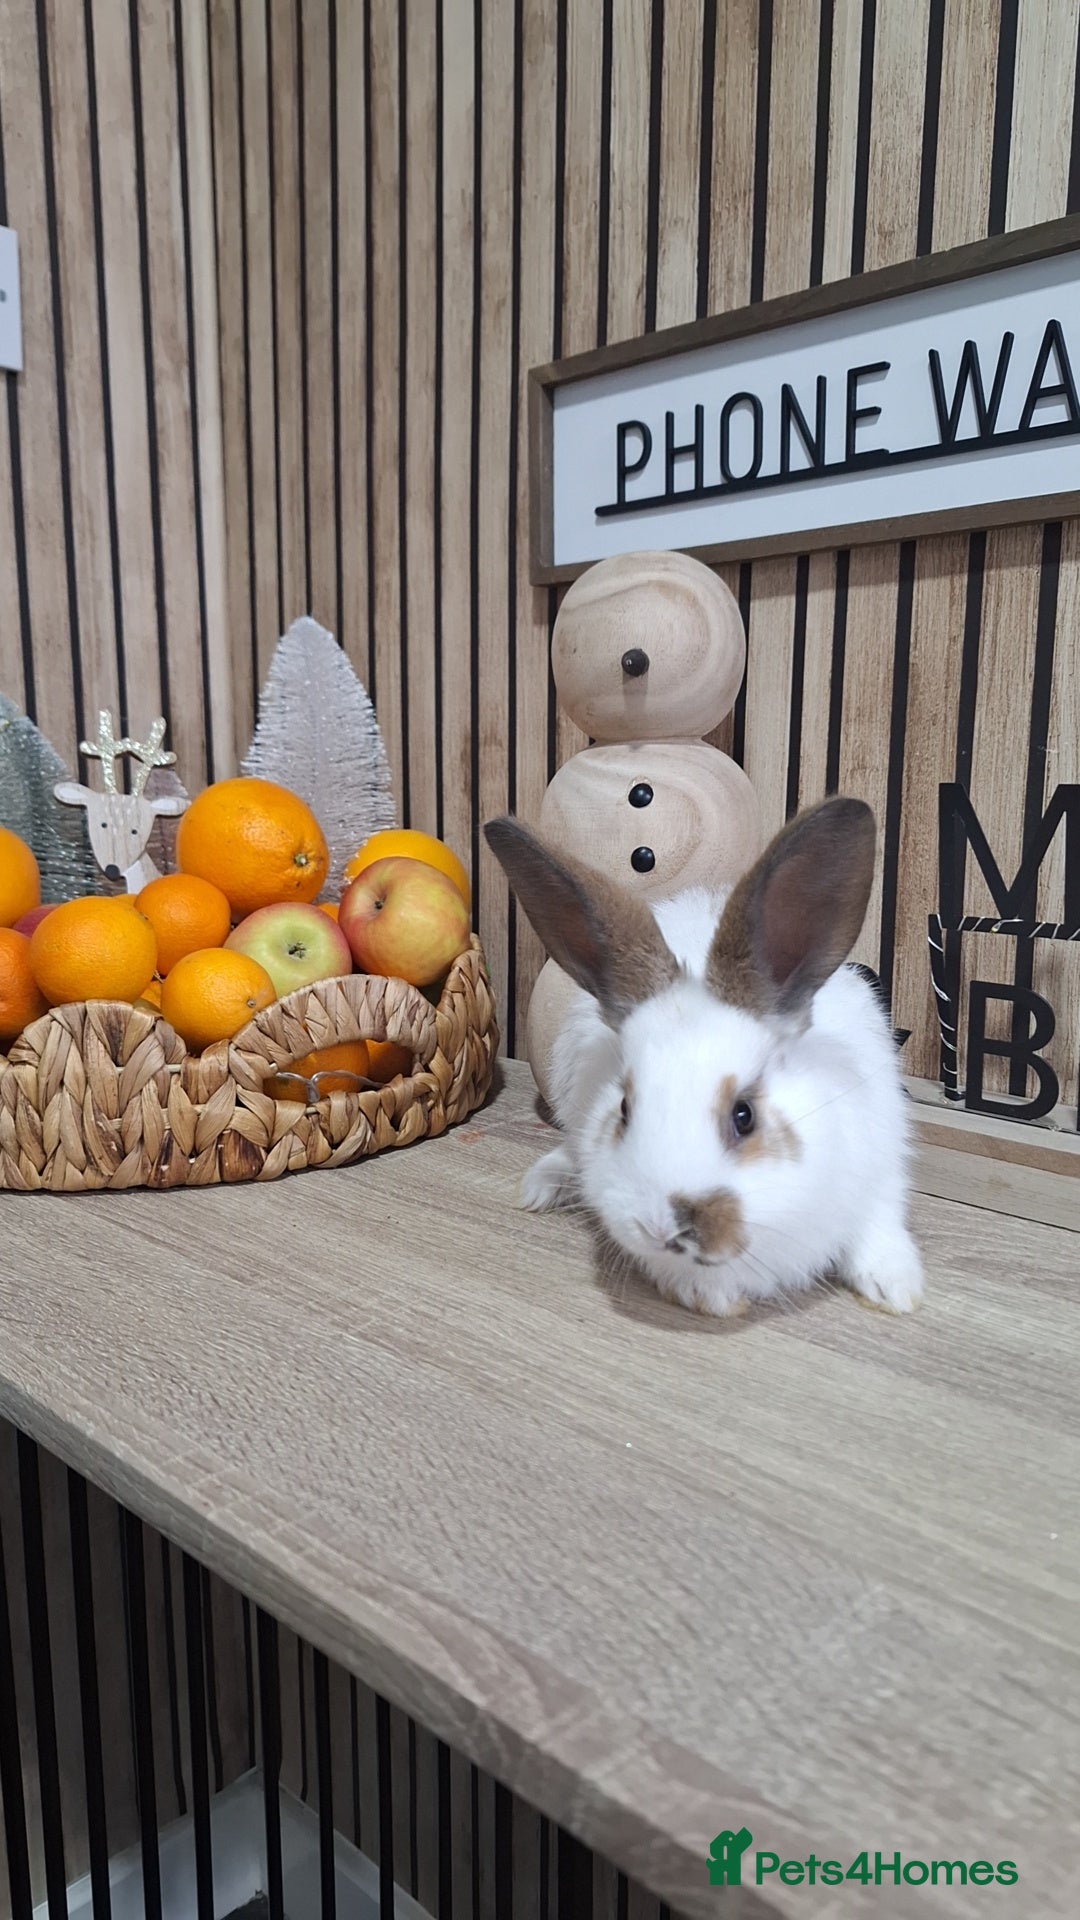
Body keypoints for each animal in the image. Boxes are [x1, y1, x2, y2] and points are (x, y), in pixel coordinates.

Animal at [484, 796, 924, 1319]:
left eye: (744, 1115)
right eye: (624, 1110)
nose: (661, 1228)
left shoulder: (881, 1163)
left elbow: (877, 1223)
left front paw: (895, 1289)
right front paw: (708, 1296)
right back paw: (542, 1184)